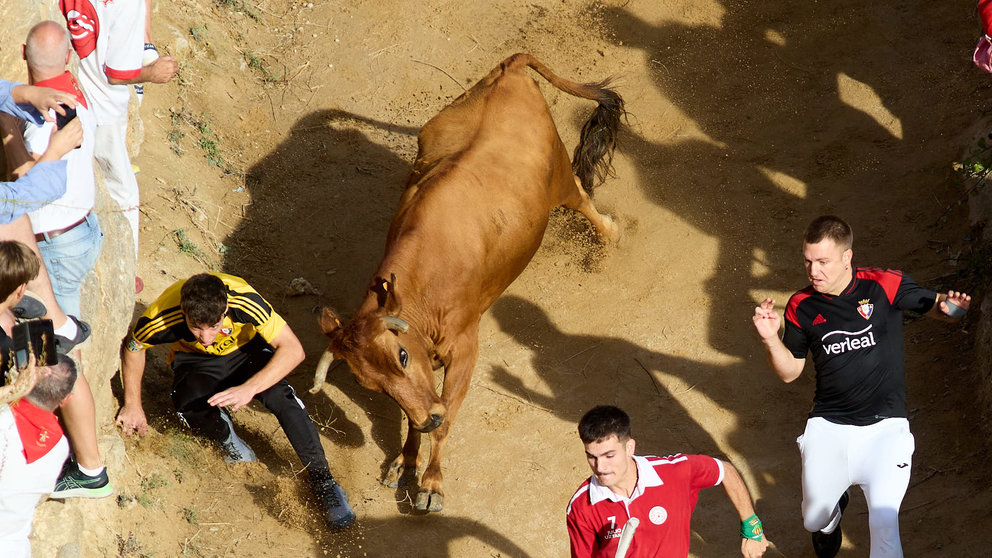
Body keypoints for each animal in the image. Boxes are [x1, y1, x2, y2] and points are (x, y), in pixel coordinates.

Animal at [310, 54, 624, 516]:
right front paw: (405, 462)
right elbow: (417, 418)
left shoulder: (464, 350)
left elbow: (446, 422)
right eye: (372, 386)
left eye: (401, 355)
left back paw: (609, 235)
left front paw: (432, 483)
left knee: (582, 196)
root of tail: (509, 69)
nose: (430, 416)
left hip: (560, 177)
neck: (423, 285)